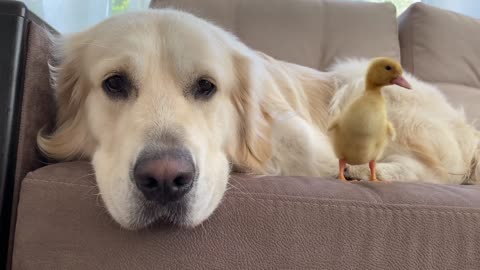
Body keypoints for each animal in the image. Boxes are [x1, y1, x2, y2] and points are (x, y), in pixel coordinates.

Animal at [36, 9, 480, 229]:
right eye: (114, 83)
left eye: (206, 86)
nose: (164, 180)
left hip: (357, 79)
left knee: (434, 171)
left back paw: (367, 171)